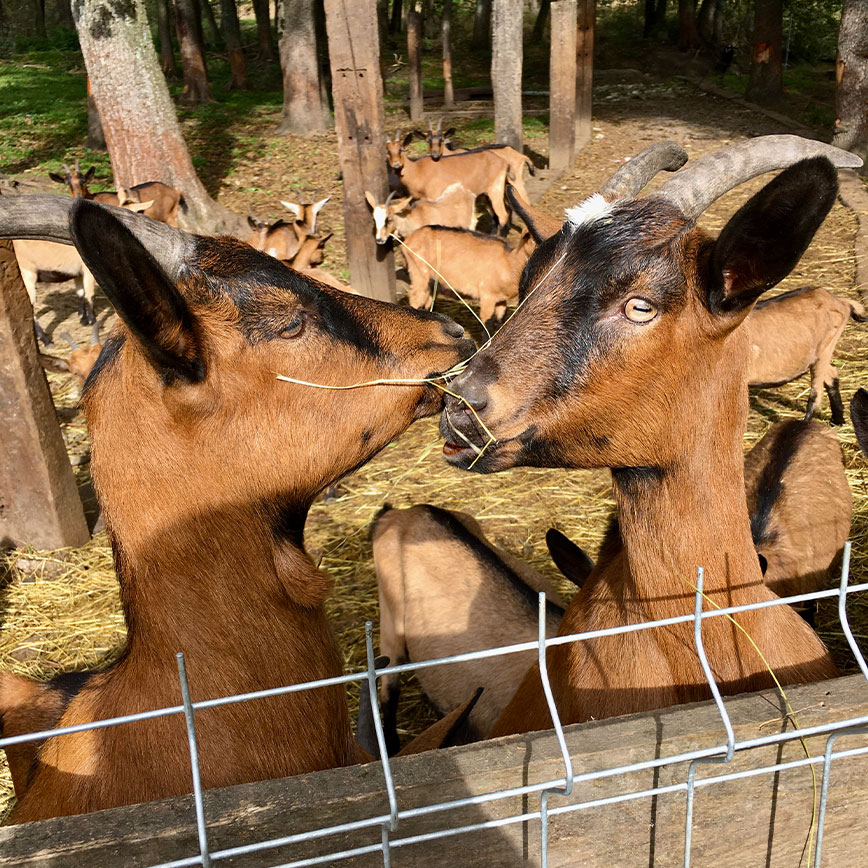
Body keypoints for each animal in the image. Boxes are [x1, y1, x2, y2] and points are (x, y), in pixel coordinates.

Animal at [49, 161, 185, 225]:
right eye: (67, 183)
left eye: (84, 181)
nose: (78, 196)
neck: (93, 197)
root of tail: (175, 191)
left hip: (171, 217)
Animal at [402, 224, 536, 328]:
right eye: (532, 237)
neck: (510, 261)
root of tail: (408, 240)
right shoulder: (487, 295)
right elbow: (487, 323)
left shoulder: (501, 300)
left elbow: (500, 321)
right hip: (419, 274)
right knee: (415, 301)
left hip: (431, 282)